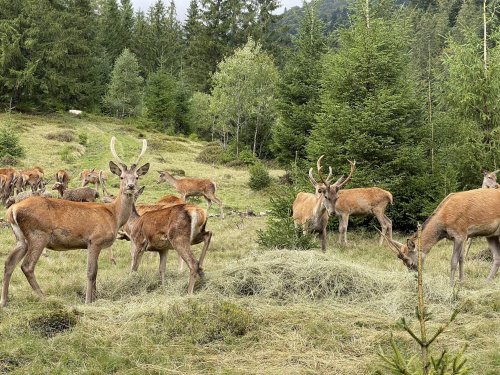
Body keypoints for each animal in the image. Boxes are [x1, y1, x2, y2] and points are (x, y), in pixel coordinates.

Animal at [0, 138, 148, 308]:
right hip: (38, 234)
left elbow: (96, 271)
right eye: (122, 177)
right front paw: (88, 301)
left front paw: (95, 297)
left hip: (21, 238)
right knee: (27, 266)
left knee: (9, 262)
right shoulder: (95, 240)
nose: (130, 186)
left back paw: (4, 301)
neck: (114, 215)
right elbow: (91, 272)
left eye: (137, 177)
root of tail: (12, 210)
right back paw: (45, 297)